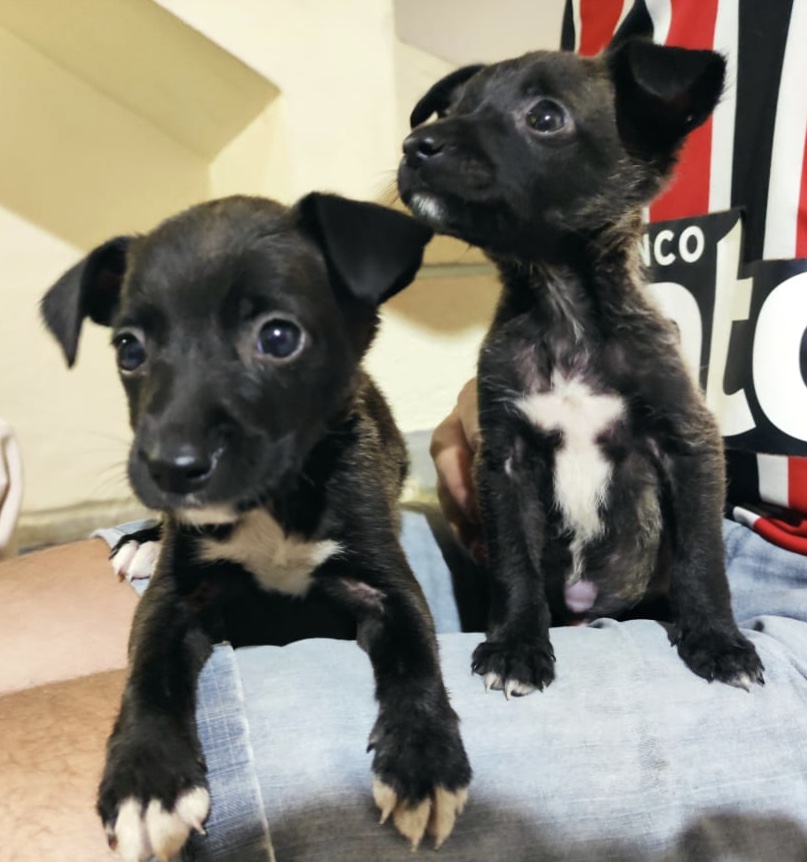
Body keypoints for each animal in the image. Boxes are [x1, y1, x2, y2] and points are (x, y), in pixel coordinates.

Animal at [42, 192, 474, 860]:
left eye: (278, 336)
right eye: (128, 350)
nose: (170, 467)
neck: (275, 502)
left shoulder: (386, 583)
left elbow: (416, 658)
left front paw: (423, 761)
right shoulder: (174, 598)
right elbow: (148, 675)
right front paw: (147, 780)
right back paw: (142, 541)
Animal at [400, 44, 768, 700]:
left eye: (546, 118)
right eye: (456, 108)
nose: (416, 145)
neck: (562, 305)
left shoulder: (689, 443)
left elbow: (703, 558)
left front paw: (717, 642)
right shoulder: (504, 460)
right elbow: (515, 564)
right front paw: (516, 646)